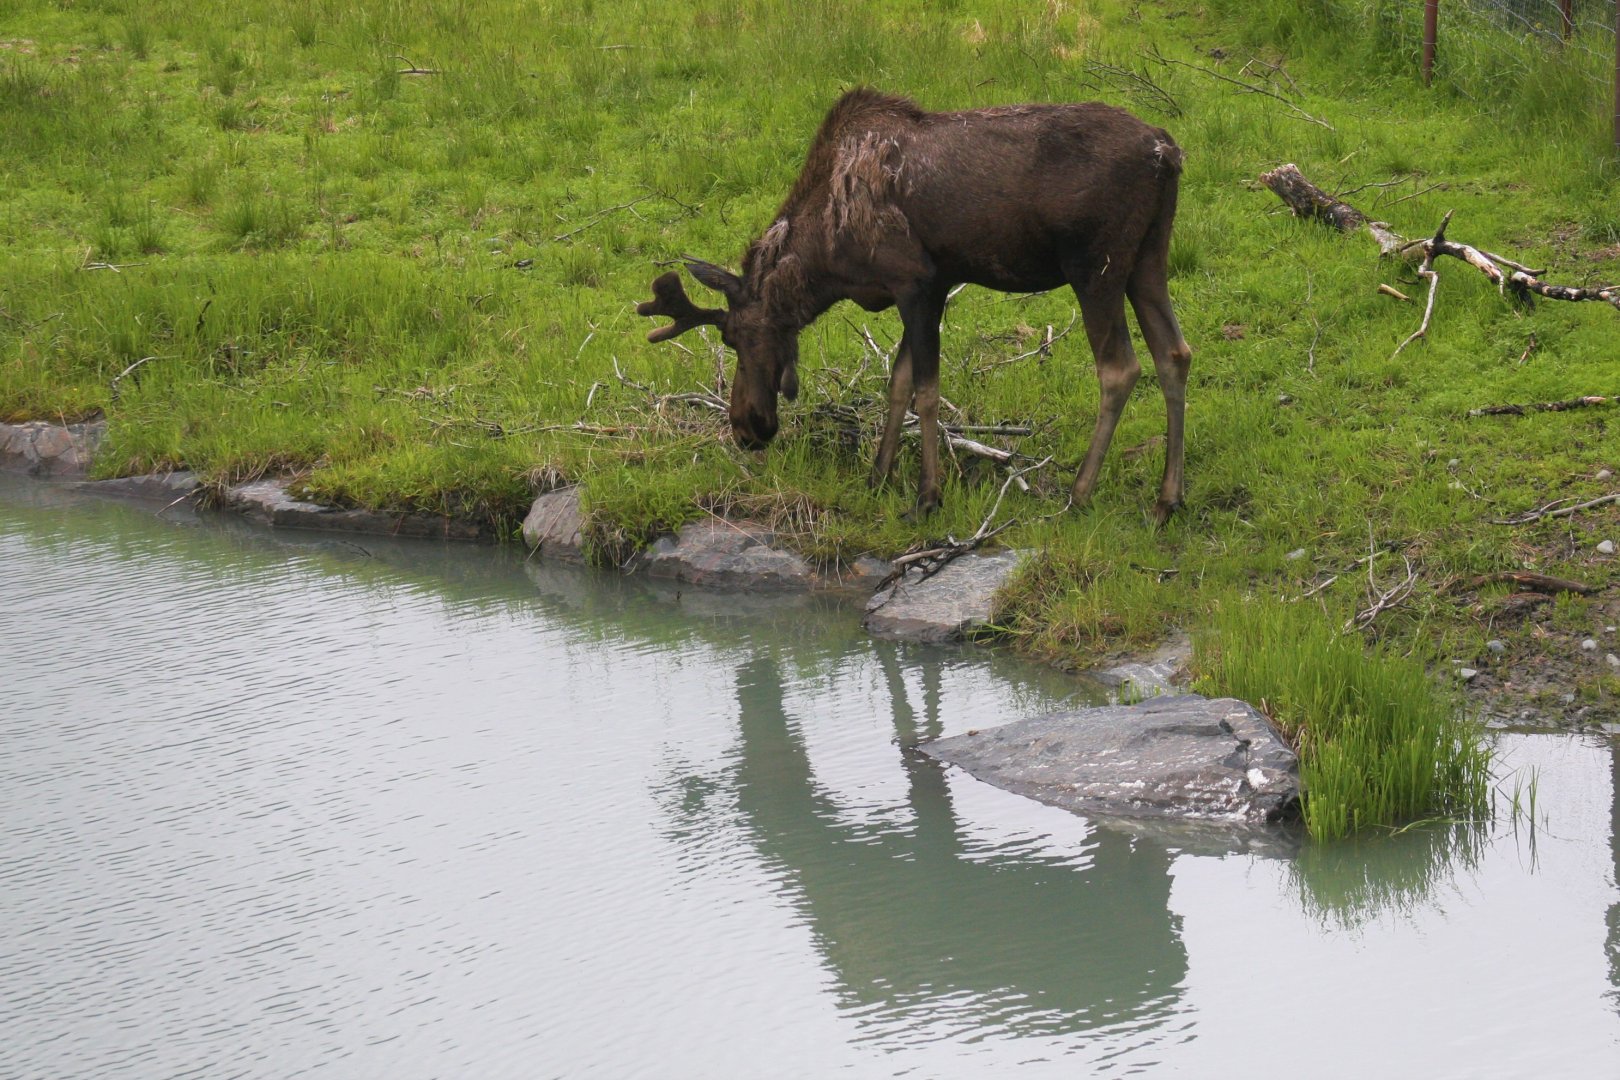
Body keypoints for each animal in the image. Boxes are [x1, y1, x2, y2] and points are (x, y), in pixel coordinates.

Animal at [637, 88, 1192, 523]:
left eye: (732, 338)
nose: (745, 426)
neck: (829, 259)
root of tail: (1168, 151)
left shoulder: (915, 282)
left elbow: (925, 389)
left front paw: (928, 496)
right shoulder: (936, 284)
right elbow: (898, 381)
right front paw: (877, 475)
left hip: (1095, 266)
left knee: (1120, 368)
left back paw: (1079, 493)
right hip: (1148, 258)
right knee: (1175, 353)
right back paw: (1168, 500)